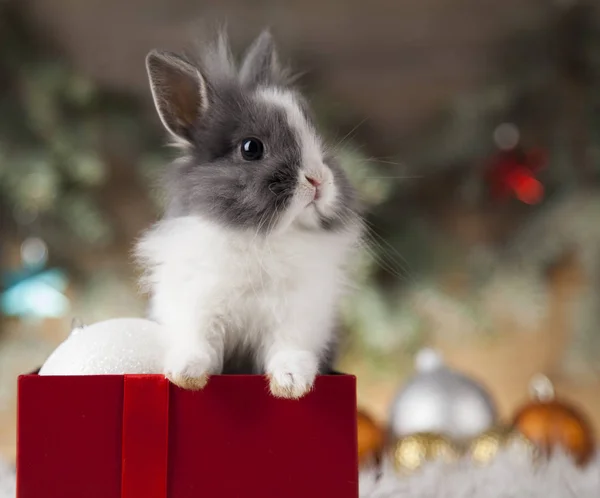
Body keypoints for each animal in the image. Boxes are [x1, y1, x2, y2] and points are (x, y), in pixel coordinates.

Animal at [136, 29, 360, 398]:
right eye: (251, 148)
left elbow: (288, 349)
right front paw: (184, 375)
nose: (318, 180)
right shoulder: (198, 308)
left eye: (317, 136)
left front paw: (292, 385)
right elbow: (200, 343)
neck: (261, 236)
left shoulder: (298, 318)